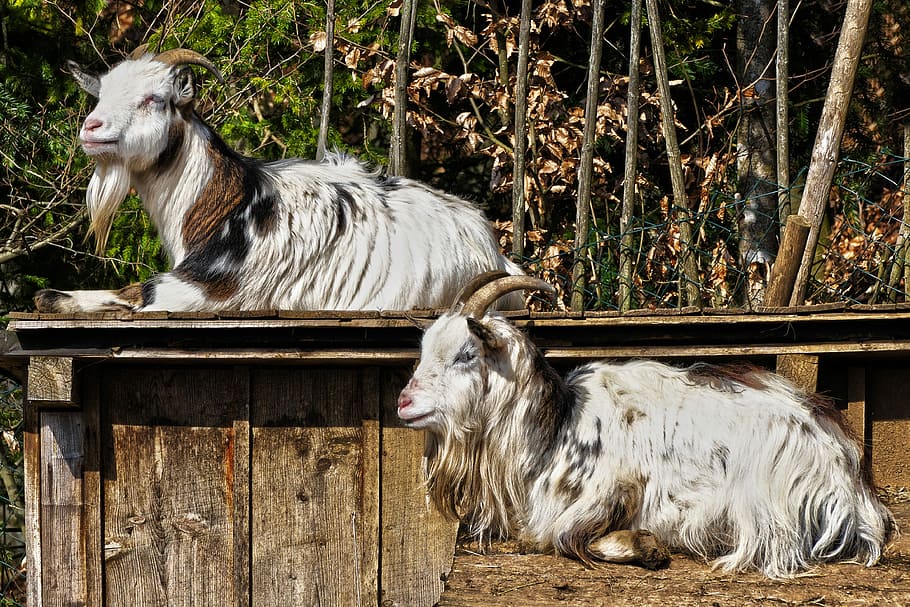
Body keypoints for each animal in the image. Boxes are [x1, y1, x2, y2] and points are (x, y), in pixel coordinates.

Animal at [35, 45, 524, 314]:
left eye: (153, 98)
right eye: (101, 94)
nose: (91, 128)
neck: (228, 204)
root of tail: (496, 252)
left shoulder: (205, 291)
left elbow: (138, 291)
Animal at [400, 274, 896, 580]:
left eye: (467, 353)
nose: (404, 402)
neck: (555, 432)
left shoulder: (608, 493)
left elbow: (560, 537)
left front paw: (647, 547)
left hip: (760, 500)